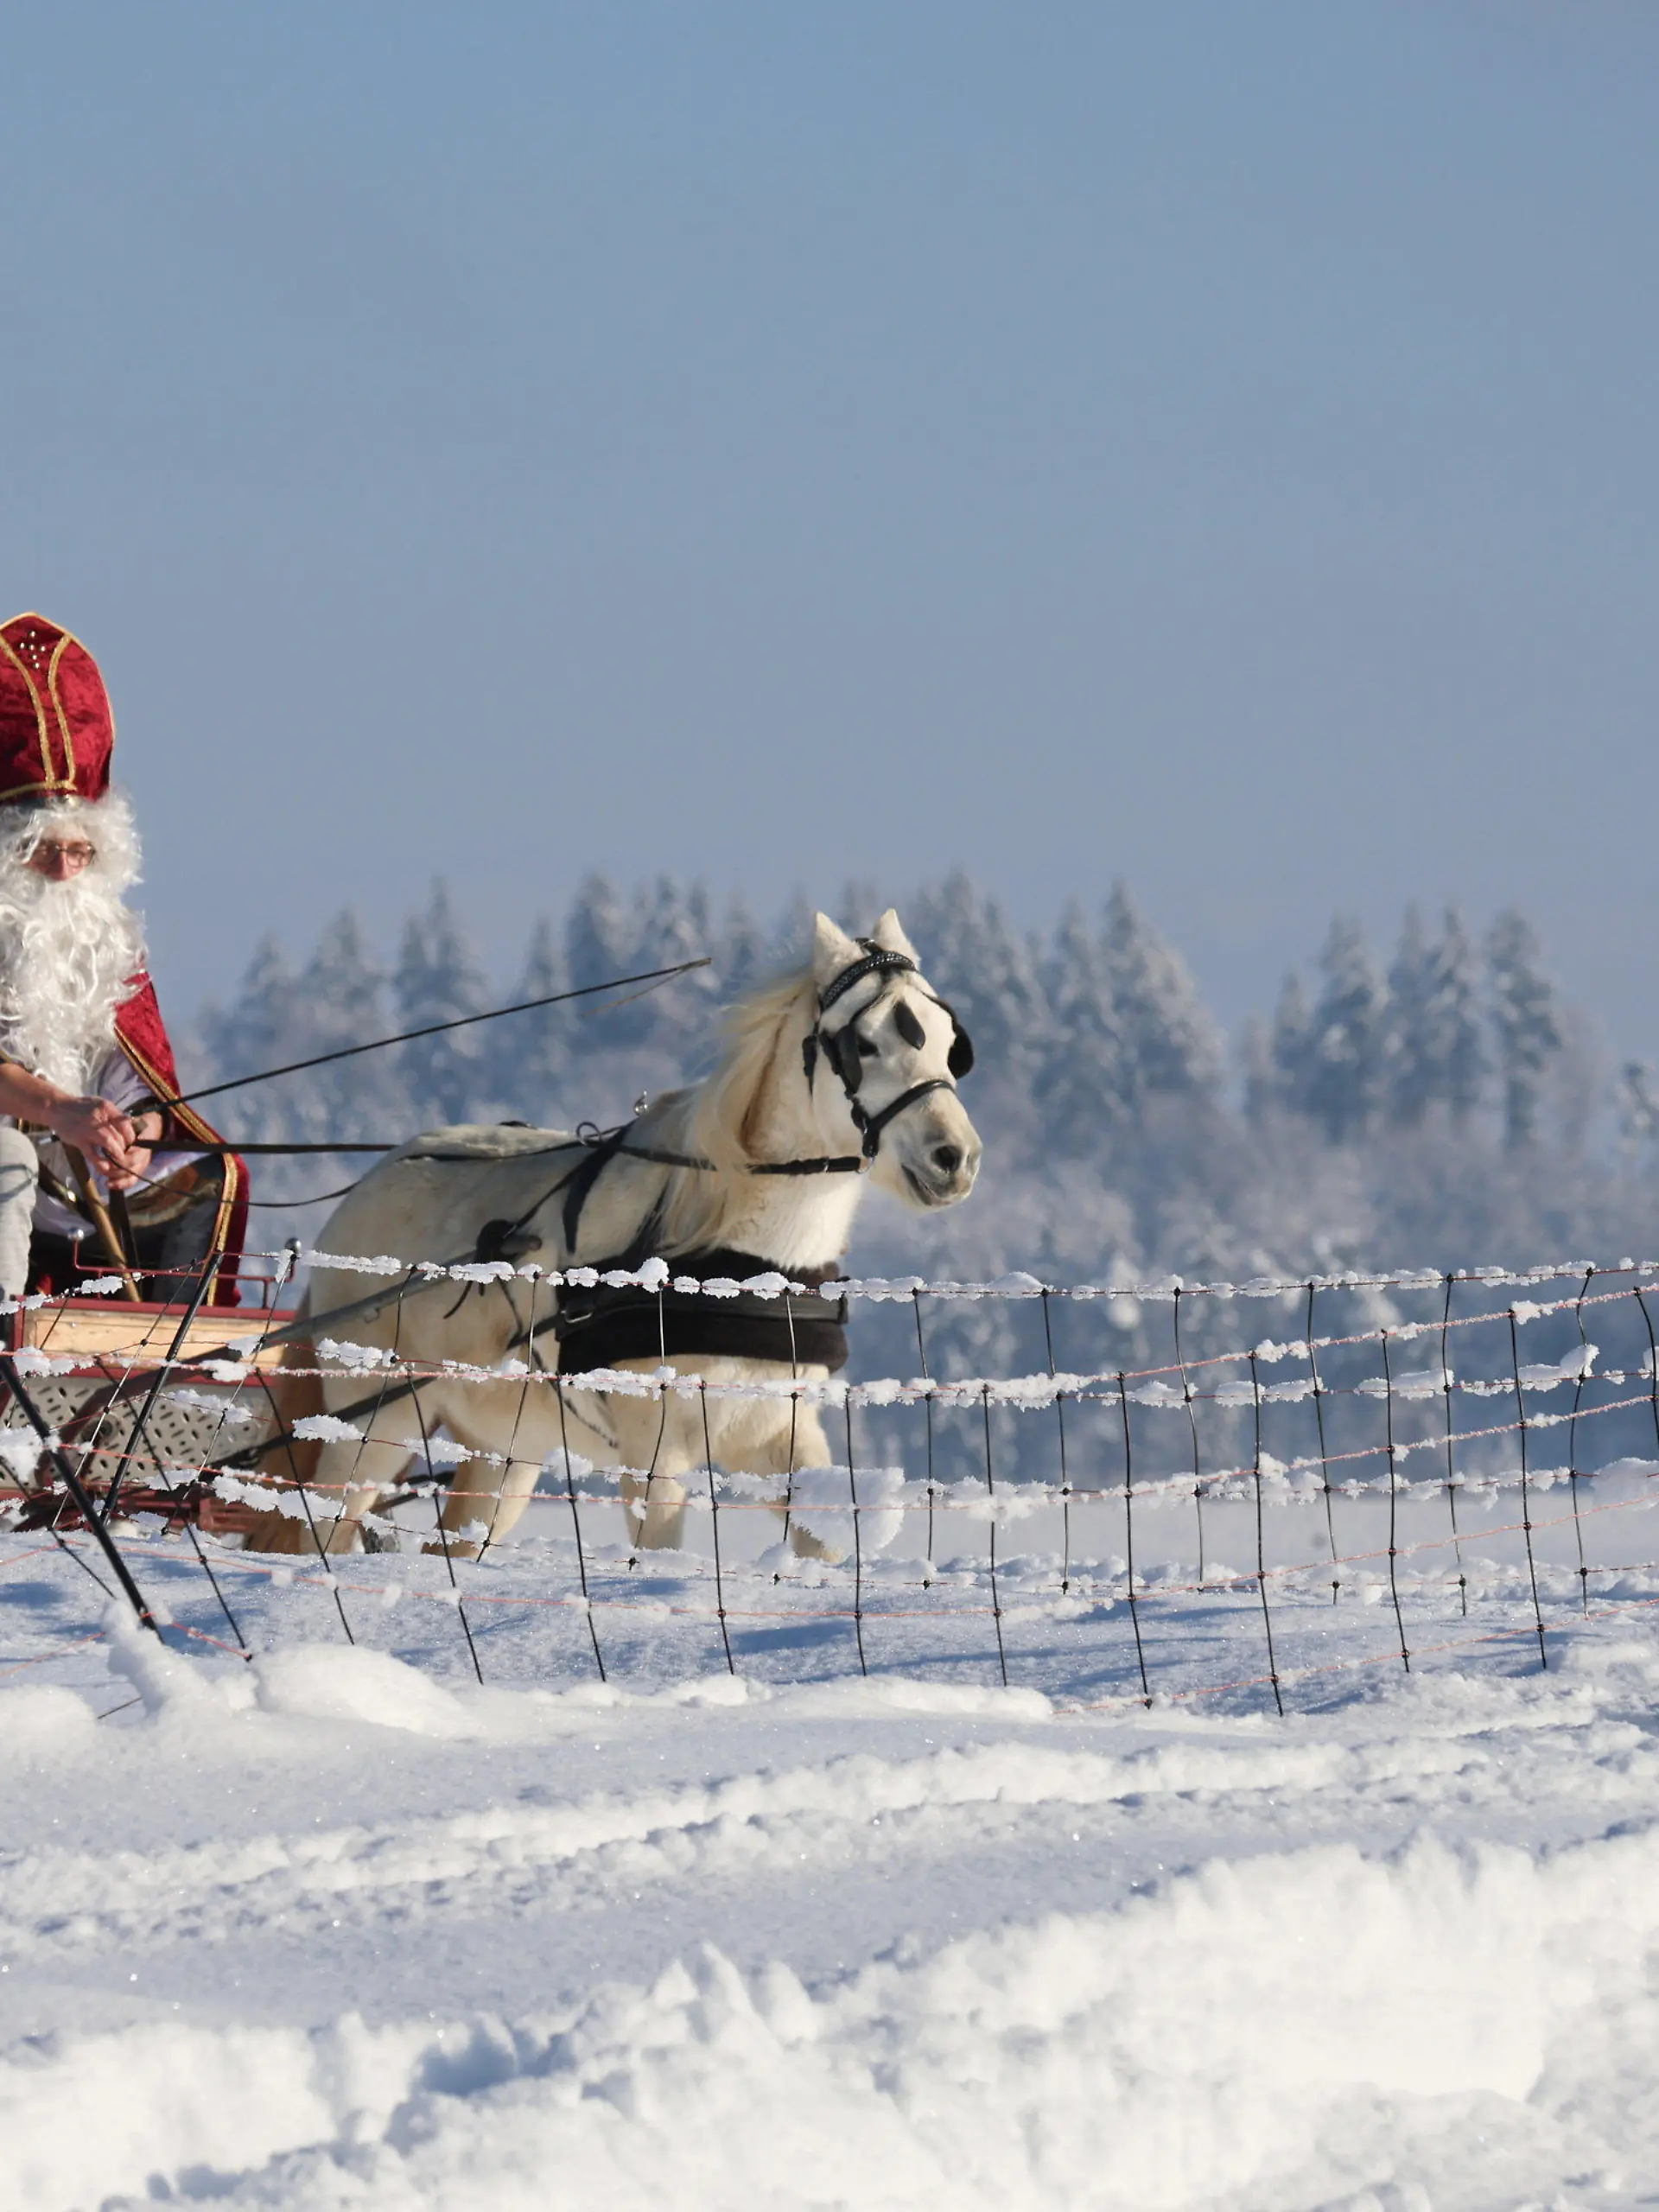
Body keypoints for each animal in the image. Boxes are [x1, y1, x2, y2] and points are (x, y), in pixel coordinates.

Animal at [251, 909, 981, 1559]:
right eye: (863, 1044)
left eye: (948, 1040)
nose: (956, 1156)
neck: (731, 1254)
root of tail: (370, 1182)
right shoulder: (656, 1447)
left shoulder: (778, 1427)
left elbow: (823, 1543)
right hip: (373, 1423)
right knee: (324, 1532)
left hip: (506, 1448)